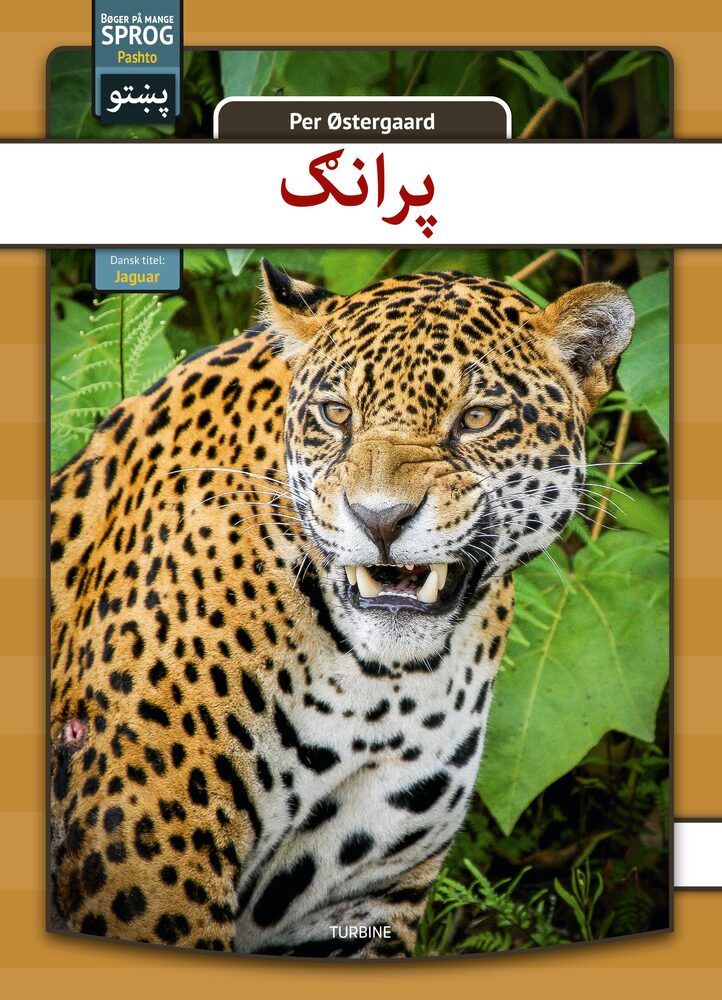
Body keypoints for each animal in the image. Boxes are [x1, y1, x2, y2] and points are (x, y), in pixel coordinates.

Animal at [49, 261, 634, 957]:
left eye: (478, 418)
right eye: (336, 414)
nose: (379, 518)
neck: (379, 689)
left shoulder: (361, 897)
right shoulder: (144, 856)